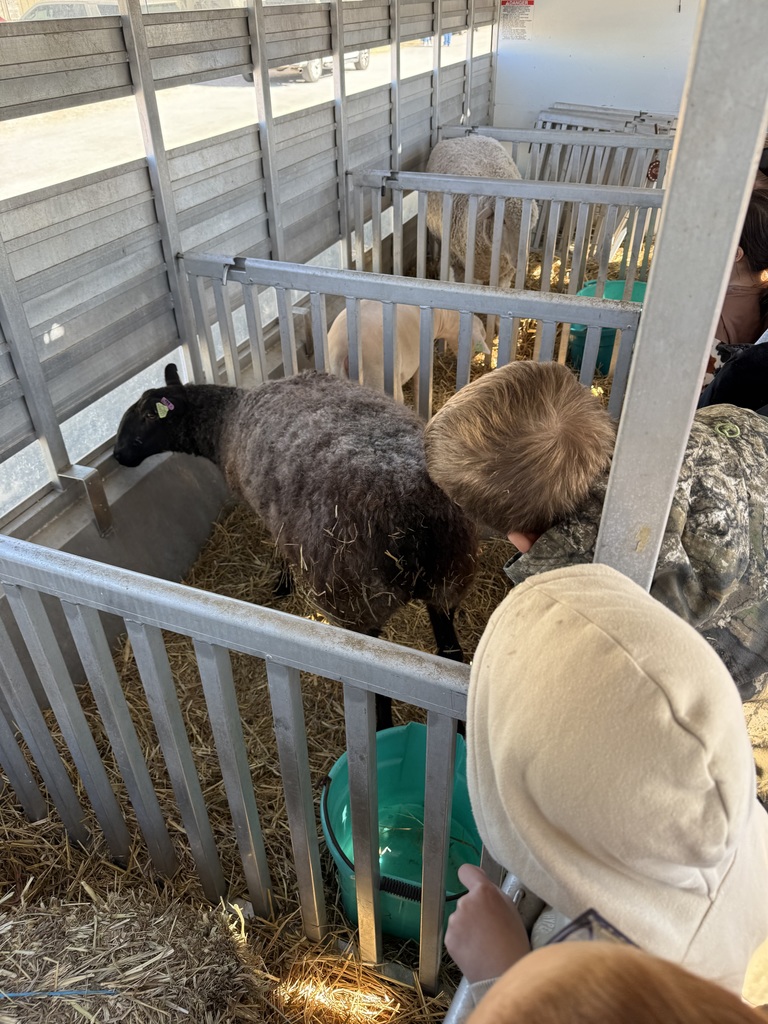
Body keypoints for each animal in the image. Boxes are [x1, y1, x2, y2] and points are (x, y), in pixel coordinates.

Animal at [113, 364, 478, 730]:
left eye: (149, 414)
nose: (118, 455)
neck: (227, 419)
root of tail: (416, 521)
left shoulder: (267, 513)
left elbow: (279, 549)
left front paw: (282, 584)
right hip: (447, 579)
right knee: (451, 654)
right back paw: (459, 731)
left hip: (358, 599)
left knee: (376, 681)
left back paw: (382, 726)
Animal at [425, 135, 540, 289]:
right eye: (503, 221)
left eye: (531, 225)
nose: (520, 262)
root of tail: (466, 137)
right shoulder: (461, 266)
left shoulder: (505, 274)